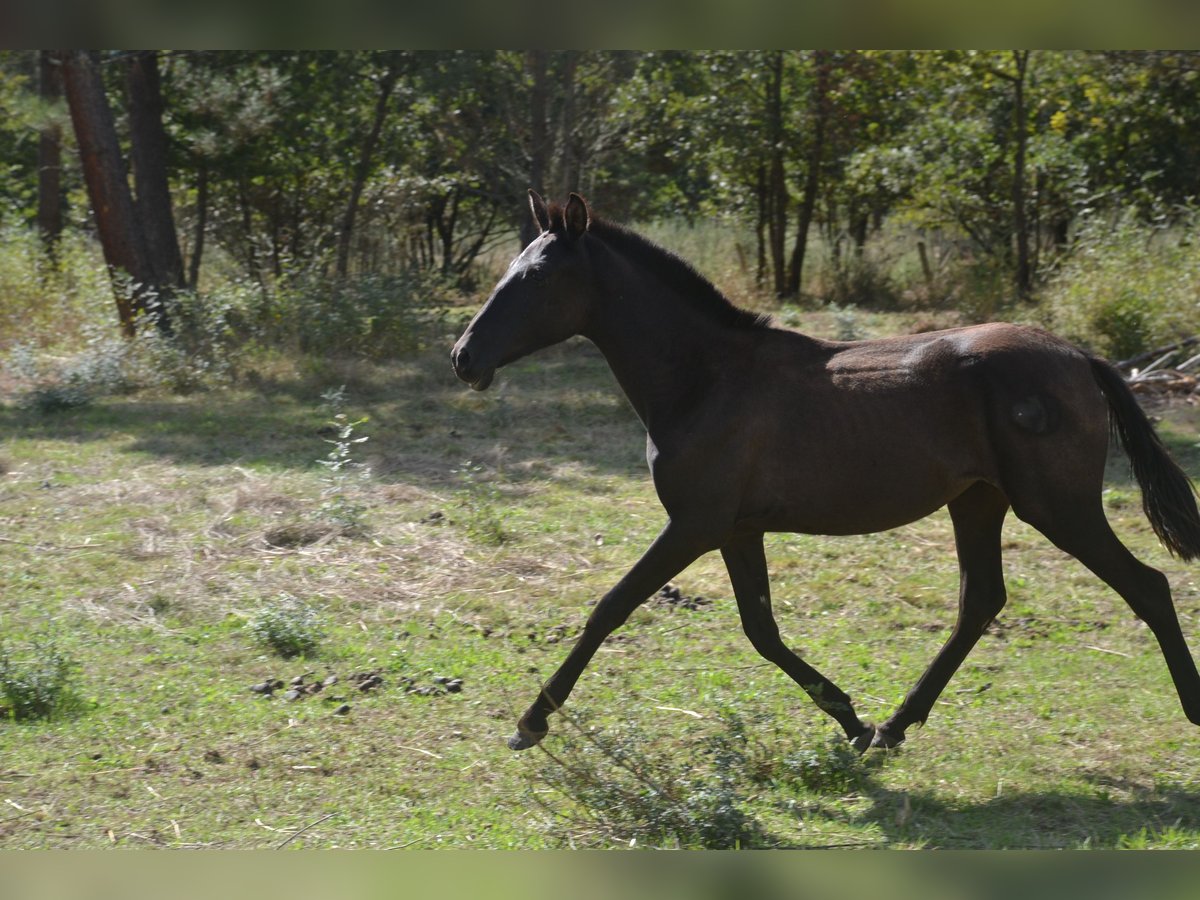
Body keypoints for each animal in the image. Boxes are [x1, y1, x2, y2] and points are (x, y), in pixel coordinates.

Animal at [451, 190, 1200, 753]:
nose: (464, 357)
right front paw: (850, 718)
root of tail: (1080, 357)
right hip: (979, 501)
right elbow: (762, 631)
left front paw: (530, 722)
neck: (707, 378)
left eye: (537, 277)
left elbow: (610, 607)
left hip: (1058, 505)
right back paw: (893, 728)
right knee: (981, 600)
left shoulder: (694, 524)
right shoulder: (735, 529)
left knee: (1147, 586)